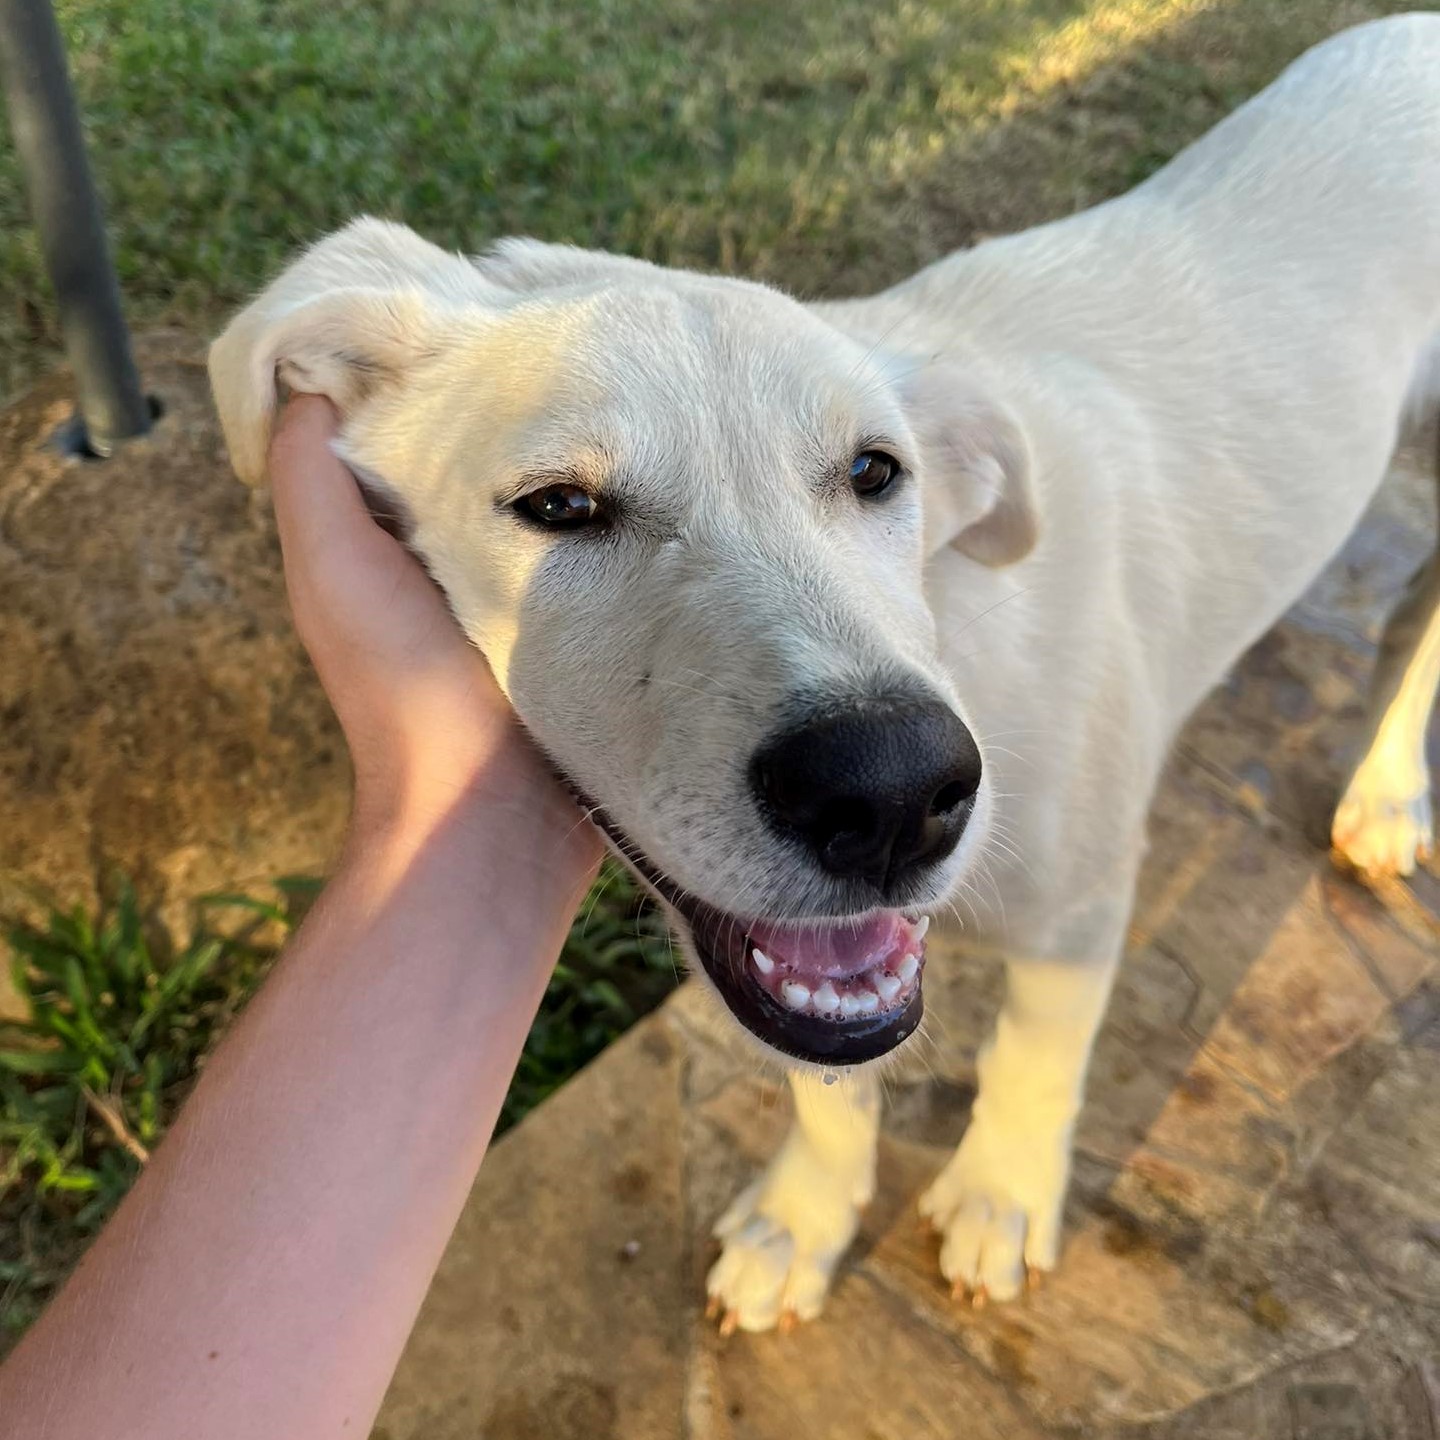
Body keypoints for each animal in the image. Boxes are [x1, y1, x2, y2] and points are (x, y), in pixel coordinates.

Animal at [210, 14, 1440, 1336]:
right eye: (559, 506)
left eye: (874, 473)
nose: (893, 793)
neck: (957, 625)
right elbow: (830, 1081)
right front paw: (807, 1220)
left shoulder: (1083, 902)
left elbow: (1033, 1063)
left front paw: (1002, 1197)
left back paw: (1384, 796)